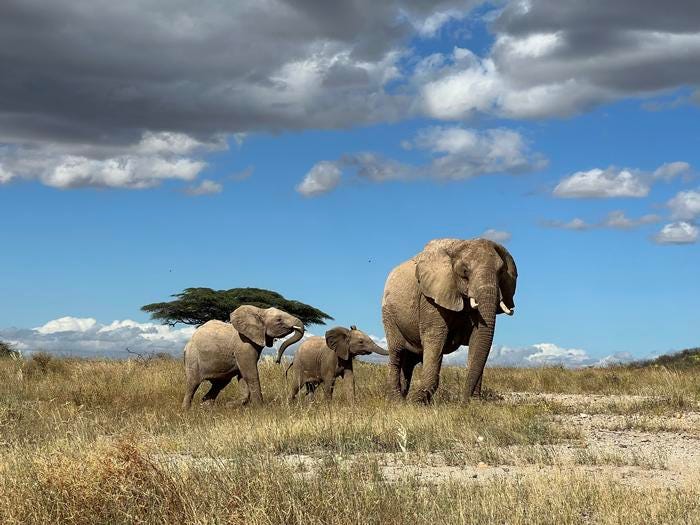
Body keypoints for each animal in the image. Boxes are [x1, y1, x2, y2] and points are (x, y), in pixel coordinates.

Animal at [382, 237, 516, 402]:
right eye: (465, 271)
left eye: (501, 272)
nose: (464, 402)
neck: (458, 245)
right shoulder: (430, 297)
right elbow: (435, 337)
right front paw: (417, 402)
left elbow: (478, 339)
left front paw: (475, 402)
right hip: (389, 314)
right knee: (397, 353)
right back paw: (397, 401)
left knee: (409, 361)